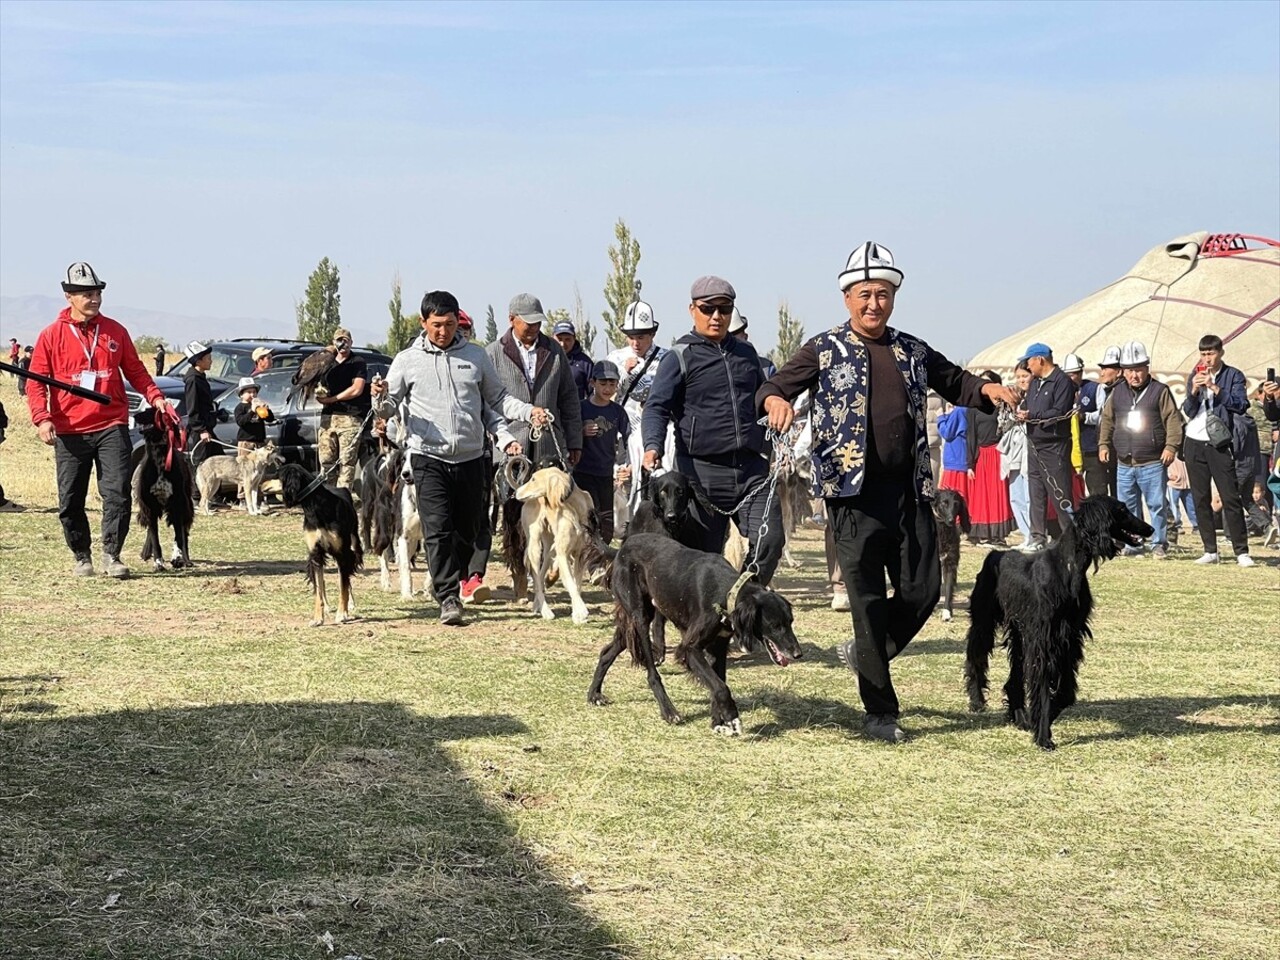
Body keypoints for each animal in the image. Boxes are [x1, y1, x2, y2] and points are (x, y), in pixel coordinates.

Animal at [277, 463, 363, 627]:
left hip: (353, 545)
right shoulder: (315, 553)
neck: (315, 508)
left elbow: (343, 585)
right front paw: (318, 618)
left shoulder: (342, 553)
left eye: (276, 475)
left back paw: (349, 606)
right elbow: (318, 589)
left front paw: (342, 614)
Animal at [586, 535, 803, 737]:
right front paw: (732, 718)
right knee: (651, 674)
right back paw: (669, 711)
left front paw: (718, 722)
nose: (797, 654)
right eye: (774, 626)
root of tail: (621, 549)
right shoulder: (689, 649)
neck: (727, 592)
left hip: (637, 618)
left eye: (791, 621)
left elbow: (718, 682)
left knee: (606, 652)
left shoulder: (718, 647)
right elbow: (721, 687)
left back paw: (594, 694)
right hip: (640, 617)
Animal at [931, 488, 967, 624]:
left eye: (956, 504)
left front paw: (947, 612)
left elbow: (948, 588)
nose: (951, 520)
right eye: (944, 503)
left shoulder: (950, 562)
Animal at [962, 499, 1157, 757]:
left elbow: (1065, 693)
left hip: (1020, 632)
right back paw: (977, 701)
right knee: (976, 658)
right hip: (985, 621)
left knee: (1015, 677)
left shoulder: (1070, 637)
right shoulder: (1044, 639)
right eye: (1122, 510)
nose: (1150, 529)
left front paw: (1042, 719)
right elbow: (1044, 688)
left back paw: (1021, 717)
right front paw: (1043, 735)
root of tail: (995, 554)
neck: (1069, 567)